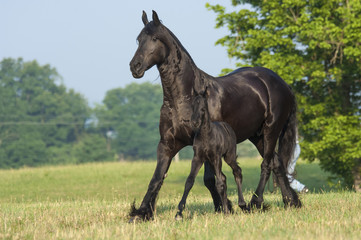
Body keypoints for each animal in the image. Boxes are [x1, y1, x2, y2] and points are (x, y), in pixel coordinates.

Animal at [175, 90, 248, 219]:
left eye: (203, 108)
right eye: (192, 106)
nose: (194, 122)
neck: (206, 135)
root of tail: (227, 126)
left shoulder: (216, 157)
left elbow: (218, 184)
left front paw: (226, 212)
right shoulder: (198, 158)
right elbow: (189, 181)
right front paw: (179, 213)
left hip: (228, 157)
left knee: (236, 171)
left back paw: (242, 204)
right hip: (211, 162)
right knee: (223, 177)